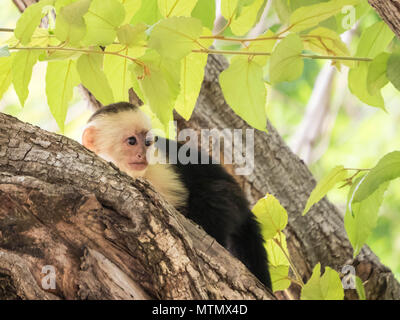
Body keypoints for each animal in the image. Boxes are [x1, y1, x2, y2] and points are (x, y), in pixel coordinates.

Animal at [83, 102, 274, 288]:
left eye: (147, 142)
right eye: (131, 141)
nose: (142, 154)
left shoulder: (160, 167)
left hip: (231, 198)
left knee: (213, 194)